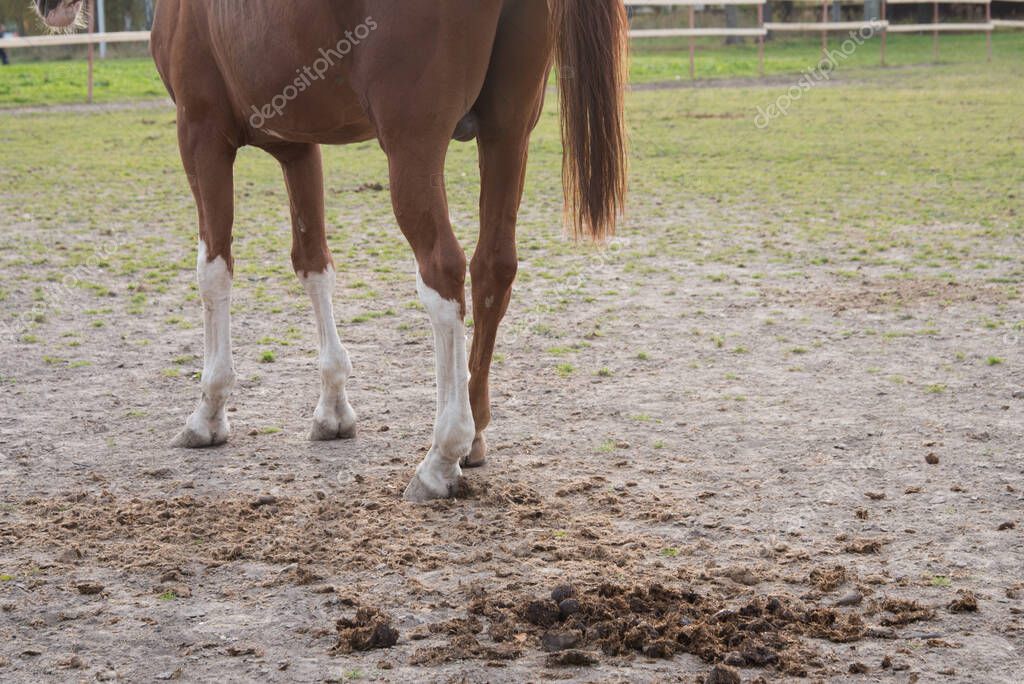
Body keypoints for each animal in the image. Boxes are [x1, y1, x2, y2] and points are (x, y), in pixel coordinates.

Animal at [34, 0, 628, 501]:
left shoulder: (201, 134)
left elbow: (214, 271)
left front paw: (209, 414)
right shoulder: (296, 144)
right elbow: (313, 264)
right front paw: (334, 408)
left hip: (413, 145)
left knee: (444, 271)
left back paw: (442, 455)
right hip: (508, 135)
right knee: (493, 269)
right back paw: (475, 436)